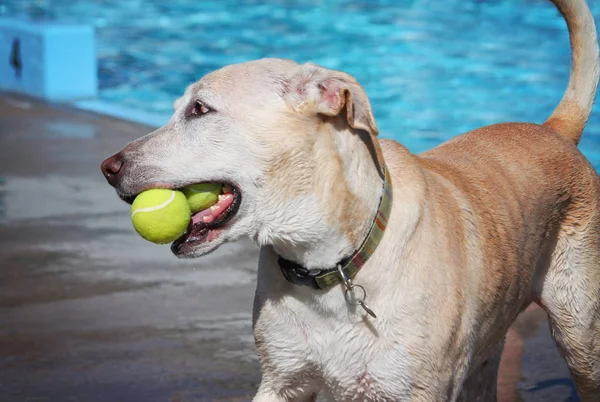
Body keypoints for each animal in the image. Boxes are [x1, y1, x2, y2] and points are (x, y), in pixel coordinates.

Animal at [102, 0, 600, 398]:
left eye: (200, 109)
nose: (108, 167)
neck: (329, 263)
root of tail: (555, 130)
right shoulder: (282, 381)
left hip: (581, 342)